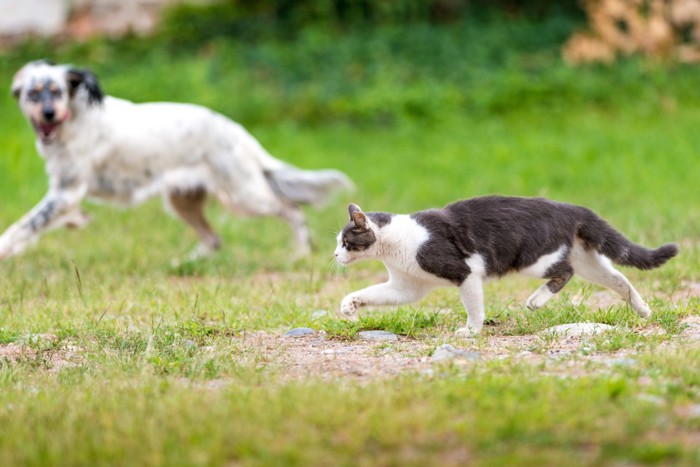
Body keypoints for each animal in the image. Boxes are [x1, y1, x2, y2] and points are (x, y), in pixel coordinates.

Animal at [0, 60, 350, 262]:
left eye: (57, 91)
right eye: (33, 93)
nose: (48, 113)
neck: (73, 120)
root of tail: (240, 133)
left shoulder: (65, 193)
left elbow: (21, 227)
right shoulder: (63, 195)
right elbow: (48, 221)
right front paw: (78, 221)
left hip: (244, 197)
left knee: (292, 210)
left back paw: (301, 253)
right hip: (183, 201)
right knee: (214, 239)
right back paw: (186, 263)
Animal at [334, 196, 680, 334]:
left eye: (345, 241)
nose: (335, 256)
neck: (395, 244)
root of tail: (571, 208)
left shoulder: (464, 272)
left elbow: (474, 307)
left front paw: (471, 331)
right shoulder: (406, 286)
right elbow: (374, 293)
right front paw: (350, 305)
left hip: (534, 259)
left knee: (564, 272)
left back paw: (536, 300)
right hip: (588, 261)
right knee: (619, 278)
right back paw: (643, 309)